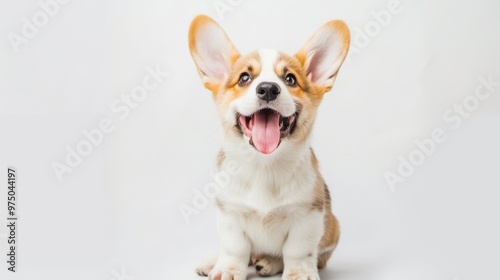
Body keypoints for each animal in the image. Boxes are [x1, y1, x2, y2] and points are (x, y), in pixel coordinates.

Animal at [189, 15, 350, 280]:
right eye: (244, 78)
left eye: (290, 79)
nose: (267, 89)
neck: (263, 165)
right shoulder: (230, 212)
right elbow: (234, 248)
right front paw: (227, 269)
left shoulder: (307, 215)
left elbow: (297, 251)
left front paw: (299, 273)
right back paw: (214, 261)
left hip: (333, 227)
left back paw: (269, 262)